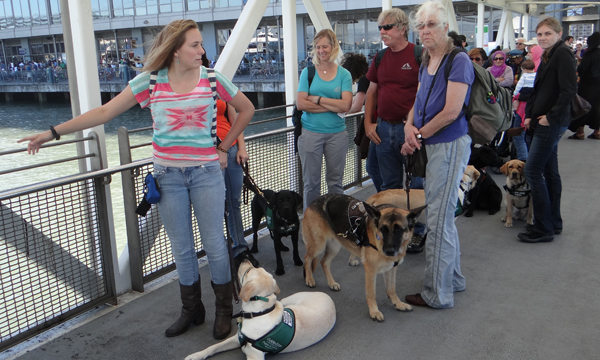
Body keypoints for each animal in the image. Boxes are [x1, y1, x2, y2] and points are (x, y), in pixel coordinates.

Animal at [185, 260, 336, 358]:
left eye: (248, 271)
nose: (244, 259)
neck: (258, 313)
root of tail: (328, 297)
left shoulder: (254, 355)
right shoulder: (237, 338)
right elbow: (214, 347)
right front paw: (196, 355)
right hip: (286, 301)